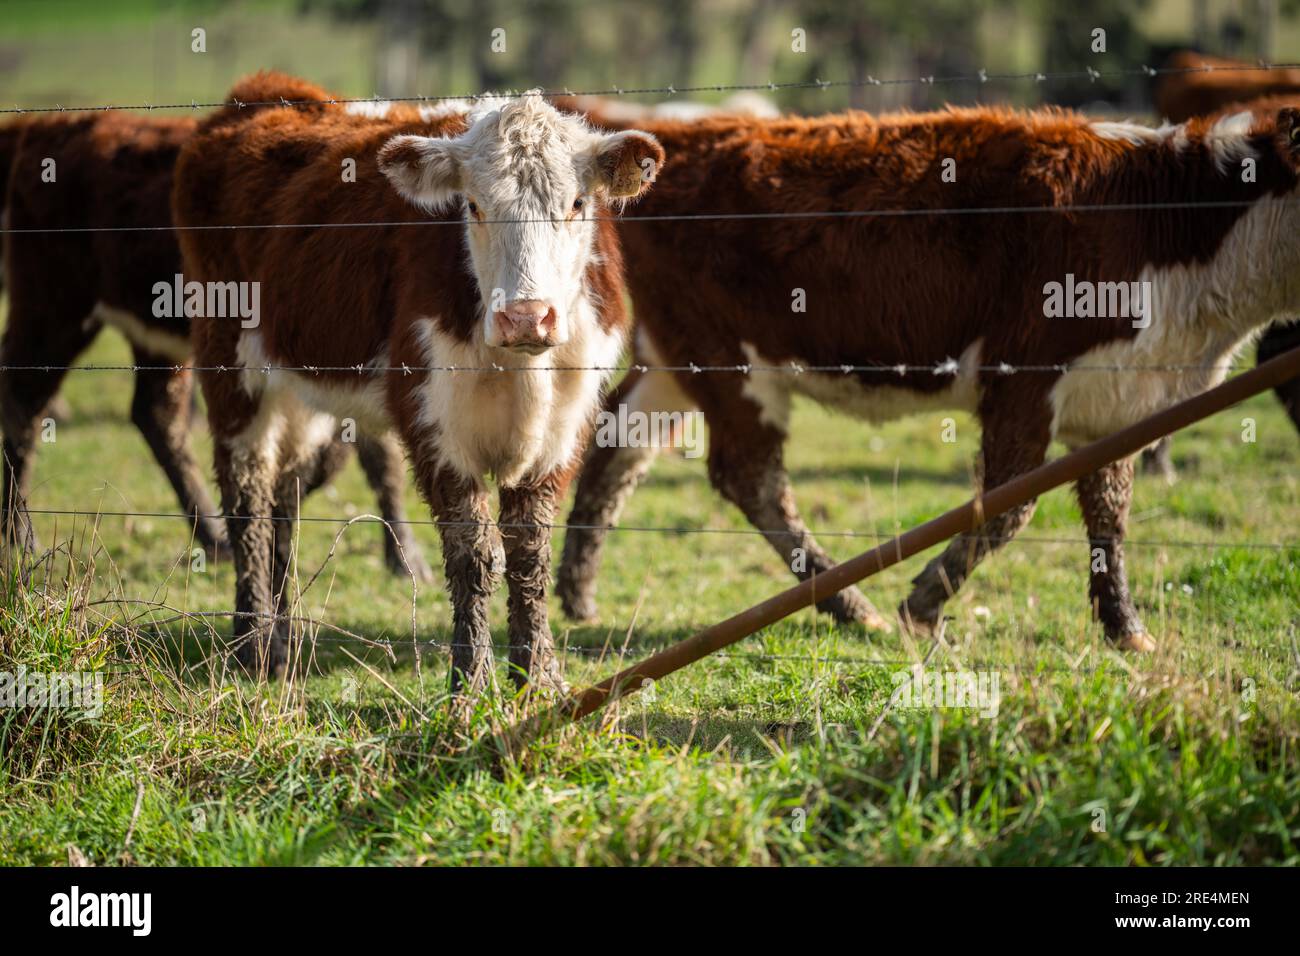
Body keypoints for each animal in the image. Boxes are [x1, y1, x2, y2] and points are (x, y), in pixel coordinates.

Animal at [0, 109, 432, 581]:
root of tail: (49, 126)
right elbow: (367, 454)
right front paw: (406, 559)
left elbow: (368, 453)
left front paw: (403, 557)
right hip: (53, 312)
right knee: (24, 407)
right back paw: (22, 538)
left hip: (156, 343)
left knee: (155, 416)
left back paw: (212, 536)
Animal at [173, 74, 663, 692]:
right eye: (473, 205)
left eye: (577, 203)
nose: (526, 317)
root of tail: (261, 92)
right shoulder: (432, 423)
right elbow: (474, 553)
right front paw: (470, 684)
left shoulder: (565, 422)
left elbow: (529, 552)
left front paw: (538, 678)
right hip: (229, 365)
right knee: (248, 500)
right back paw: (253, 645)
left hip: (299, 388)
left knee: (285, 493)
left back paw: (285, 643)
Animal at [556, 100, 1300, 653]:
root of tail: (685, 135)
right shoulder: (1024, 376)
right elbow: (1008, 507)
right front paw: (923, 604)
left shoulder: (1119, 402)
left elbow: (1109, 516)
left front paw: (1126, 629)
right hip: (730, 362)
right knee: (750, 478)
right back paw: (849, 604)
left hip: (674, 359)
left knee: (617, 444)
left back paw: (578, 592)